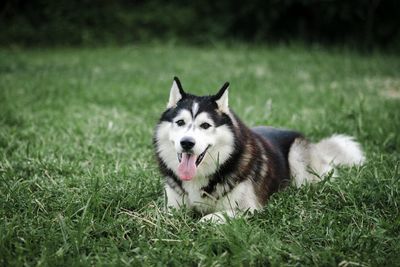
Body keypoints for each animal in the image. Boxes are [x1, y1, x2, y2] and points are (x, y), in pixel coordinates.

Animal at [153, 77, 366, 224]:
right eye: (180, 122)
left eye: (205, 125)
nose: (187, 143)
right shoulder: (172, 206)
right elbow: (165, 214)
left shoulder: (248, 209)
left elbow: (209, 218)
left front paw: (201, 221)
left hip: (298, 159)